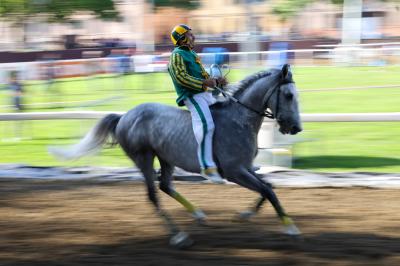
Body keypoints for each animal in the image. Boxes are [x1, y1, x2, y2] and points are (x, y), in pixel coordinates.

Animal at [51, 64, 304, 249]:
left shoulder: (247, 168)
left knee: (165, 186)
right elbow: (268, 191)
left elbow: (268, 186)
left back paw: (198, 214)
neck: (239, 119)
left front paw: (246, 214)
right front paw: (290, 227)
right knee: (153, 195)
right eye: (288, 95)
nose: (296, 128)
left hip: (166, 158)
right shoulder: (235, 172)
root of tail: (124, 116)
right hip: (143, 158)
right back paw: (179, 236)